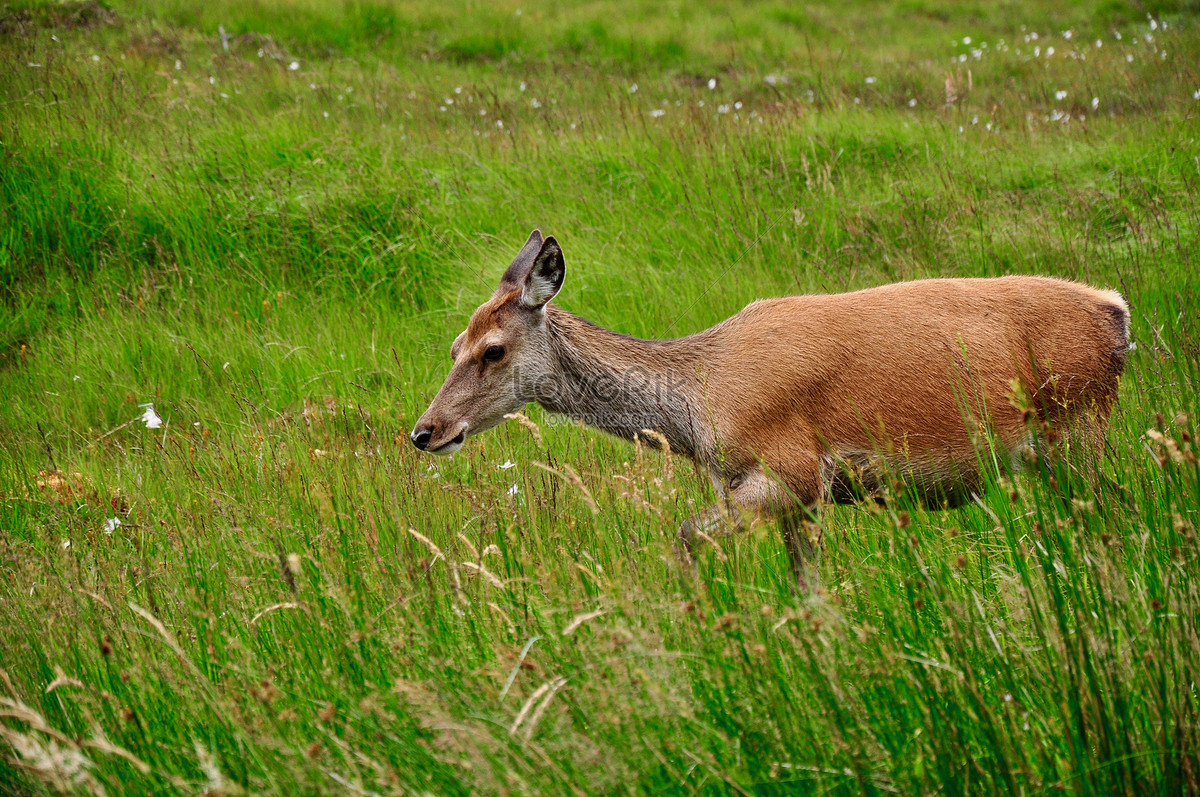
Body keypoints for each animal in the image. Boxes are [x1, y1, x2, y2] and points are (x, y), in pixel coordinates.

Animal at [408, 226, 1128, 588]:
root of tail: (1116, 312)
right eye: (452, 344)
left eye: (493, 349)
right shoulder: (802, 500)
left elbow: (684, 535)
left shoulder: (791, 469)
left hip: (1078, 430)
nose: (425, 431)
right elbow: (809, 590)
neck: (697, 404)